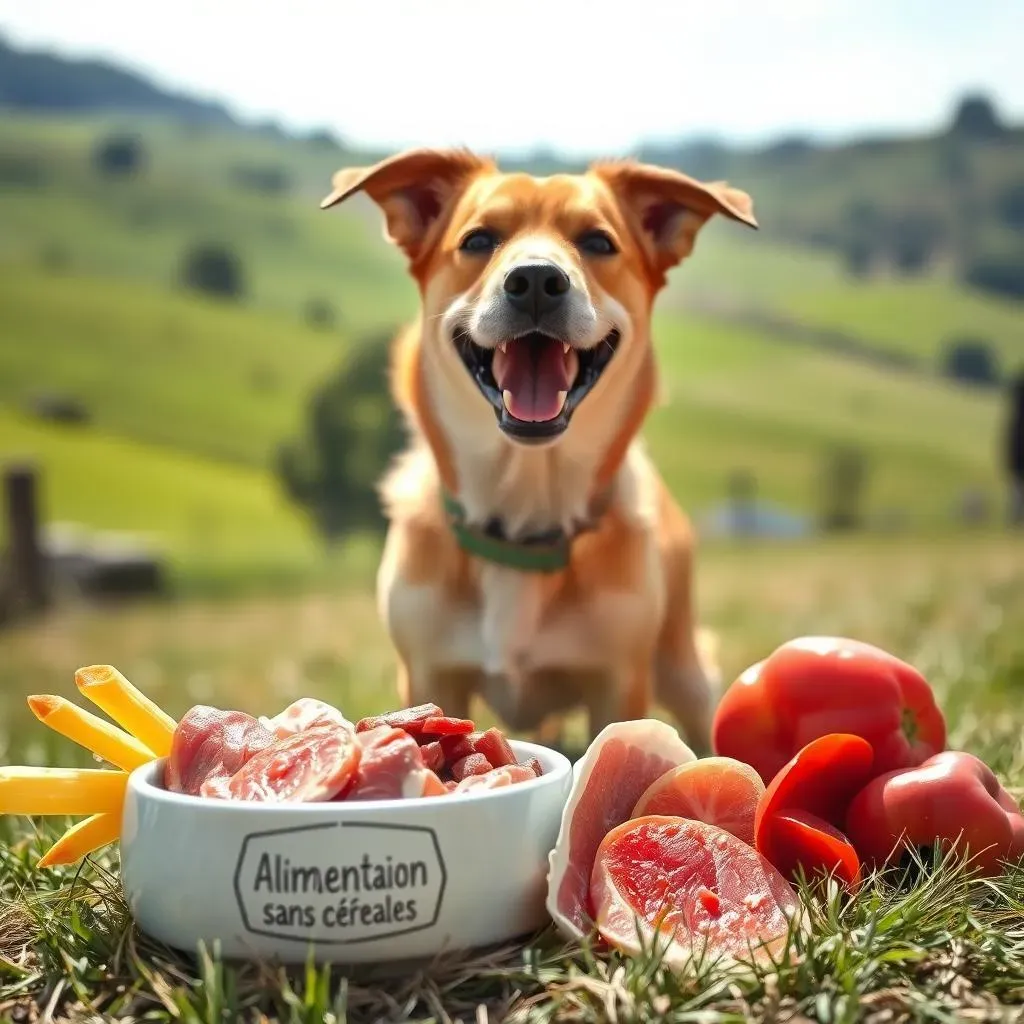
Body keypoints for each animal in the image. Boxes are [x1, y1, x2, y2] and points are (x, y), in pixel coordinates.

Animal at [323, 146, 757, 753]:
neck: (522, 520)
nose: (534, 279)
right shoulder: (429, 673)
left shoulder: (619, 682)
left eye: (598, 242)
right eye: (478, 239)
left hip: (684, 663)